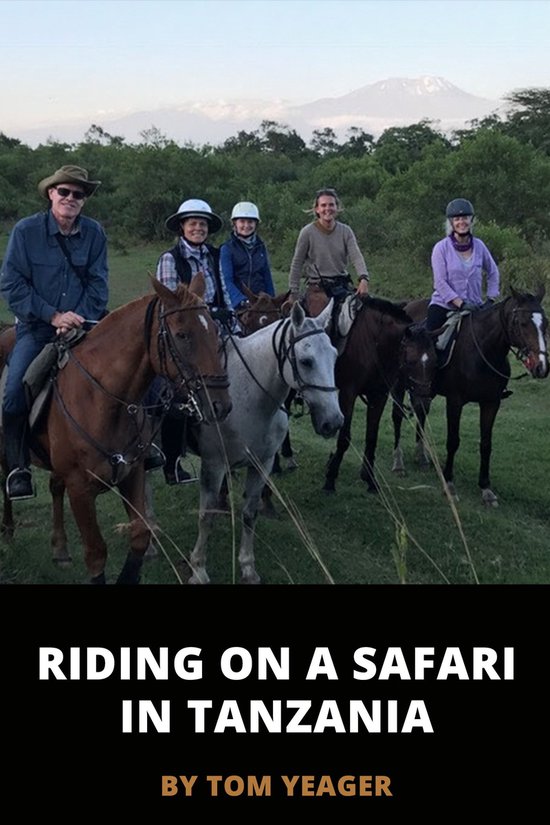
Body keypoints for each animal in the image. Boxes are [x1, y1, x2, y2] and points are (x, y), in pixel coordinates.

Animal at [0, 276, 233, 580]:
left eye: (214, 330)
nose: (220, 405)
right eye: (182, 335)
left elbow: (141, 534)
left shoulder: (131, 474)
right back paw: (8, 529)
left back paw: (60, 549)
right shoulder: (80, 489)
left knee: (54, 487)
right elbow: (96, 553)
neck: (102, 400)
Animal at [188, 300, 344, 584]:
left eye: (335, 356)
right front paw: (199, 568)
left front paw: (248, 566)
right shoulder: (214, 465)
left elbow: (250, 514)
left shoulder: (262, 464)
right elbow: (206, 517)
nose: (334, 421)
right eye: (306, 361)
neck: (248, 397)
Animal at [398, 286, 548, 502]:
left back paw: (422, 455)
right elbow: (453, 441)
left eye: (546, 324)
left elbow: (486, 444)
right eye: (522, 323)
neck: (484, 350)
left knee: (421, 411)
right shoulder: (455, 401)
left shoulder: (491, 403)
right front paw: (449, 483)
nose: (541, 367)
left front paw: (485, 487)